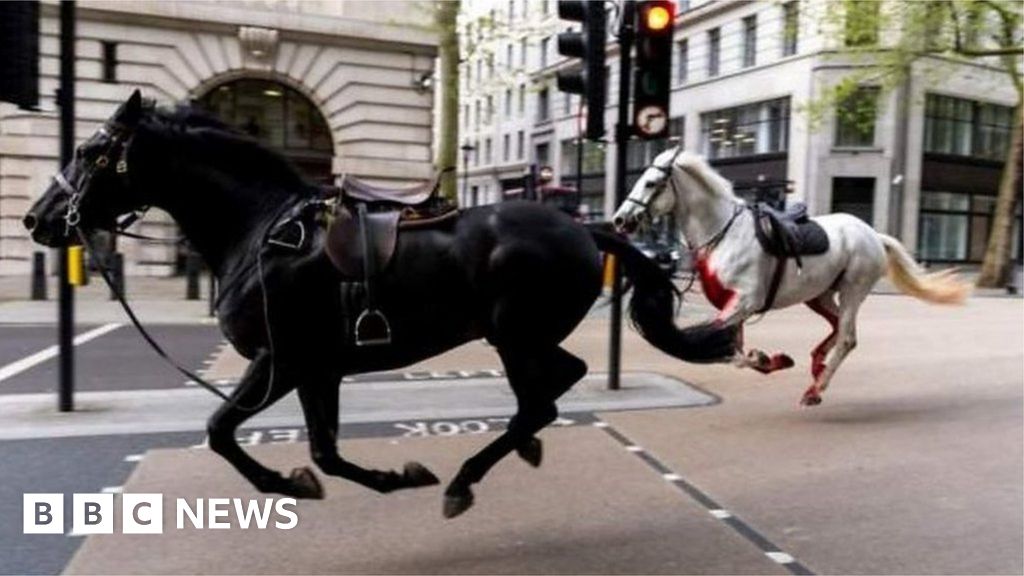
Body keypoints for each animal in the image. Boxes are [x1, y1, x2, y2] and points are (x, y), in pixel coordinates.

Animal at [25, 90, 737, 516]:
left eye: (91, 151)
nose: (38, 219)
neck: (260, 230)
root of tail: (587, 230)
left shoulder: (281, 361)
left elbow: (222, 431)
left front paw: (289, 484)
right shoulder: (317, 369)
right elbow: (323, 452)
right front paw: (379, 477)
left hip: (513, 335)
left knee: (540, 400)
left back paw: (465, 479)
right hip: (523, 336)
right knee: (559, 384)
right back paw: (518, 450)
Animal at [610, 147, 970, 403]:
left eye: (651, 183)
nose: (619, 220)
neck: (724, 233)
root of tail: (872, 234)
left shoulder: (744, 302)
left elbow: (714, 346)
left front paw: (768, 358)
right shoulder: (734, 306)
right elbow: (733, 351)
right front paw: (770, 359)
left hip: (853, 289)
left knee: (847, 337)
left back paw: (815, 390)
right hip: (820, 295)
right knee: (837, 327)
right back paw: (816, 366)